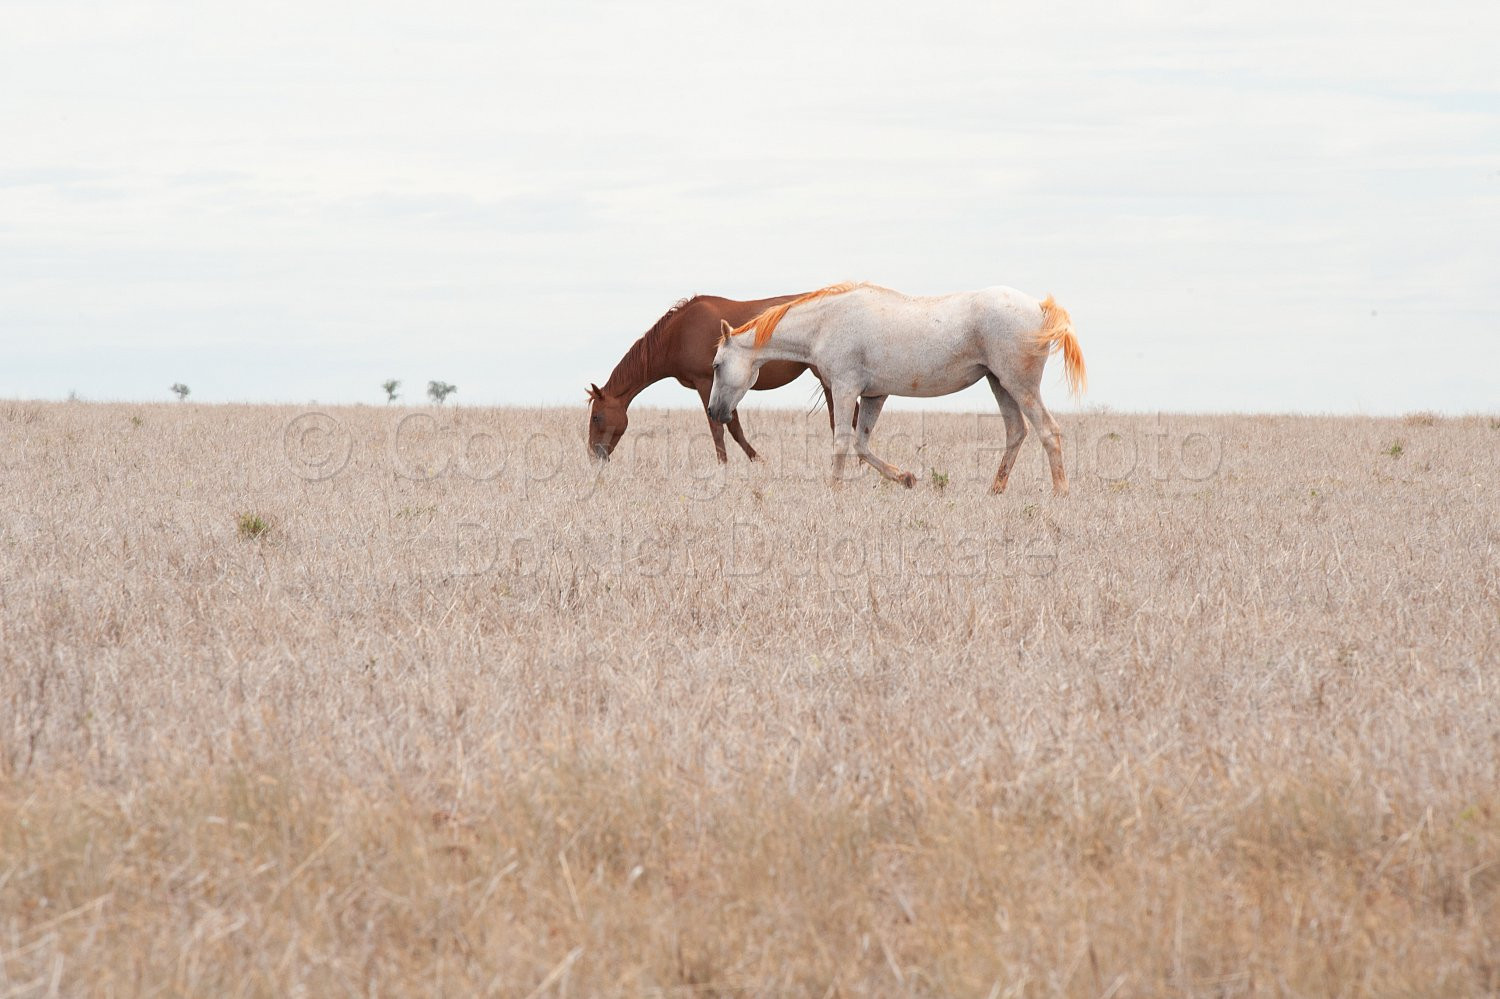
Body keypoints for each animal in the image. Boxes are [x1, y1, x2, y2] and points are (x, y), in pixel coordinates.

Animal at [587, 294, 844, 462]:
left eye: (596, 417)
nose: (593, 455)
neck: (678, 334)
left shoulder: (706, 383)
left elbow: (718, 429)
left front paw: (724, 466)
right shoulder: (723, 389)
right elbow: (735, 428)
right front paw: (758, 461)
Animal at [707, 283, 1086, 495]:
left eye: (716, 365)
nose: (713, 411)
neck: (826, 323)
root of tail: (1039, 307)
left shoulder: (845, 389)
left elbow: (842, 442)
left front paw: (834, 490)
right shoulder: (874, 396)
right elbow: (862, 445)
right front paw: (904, 477)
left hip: (1019, 386)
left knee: (1048, 431)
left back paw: (1060, 492)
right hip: (1000, 384)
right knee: (1016, 432)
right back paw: (995, 489)